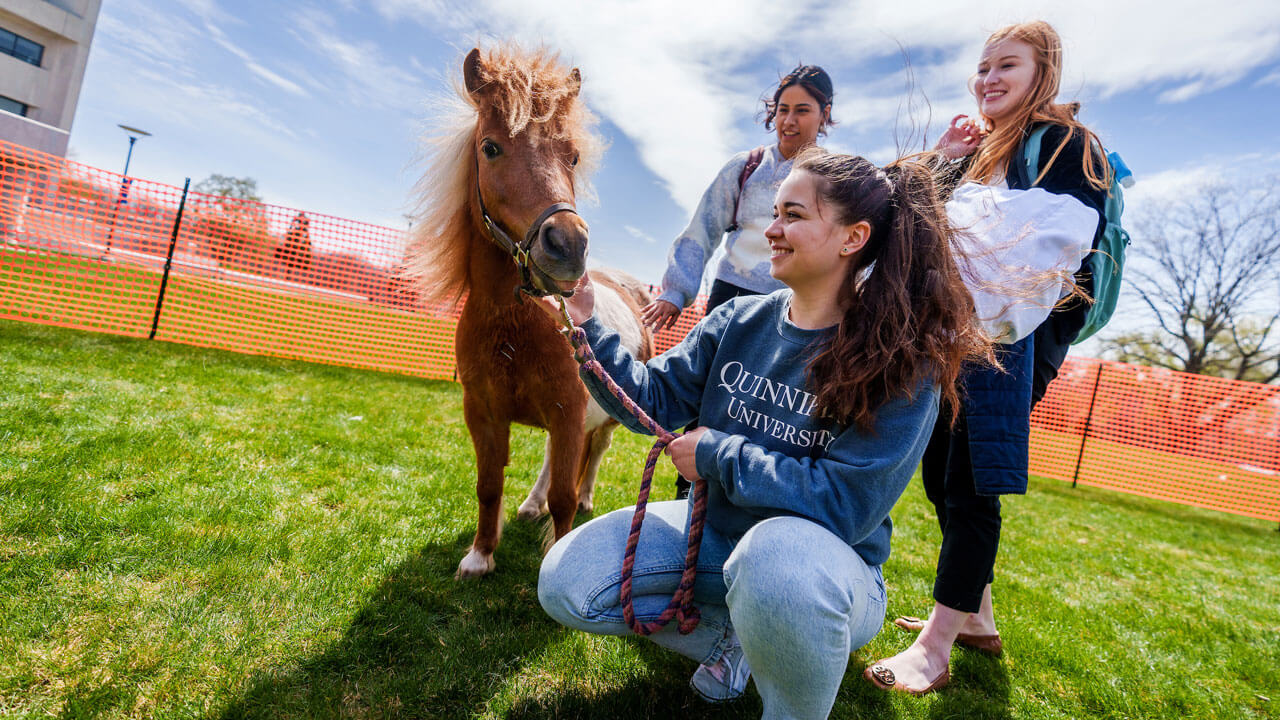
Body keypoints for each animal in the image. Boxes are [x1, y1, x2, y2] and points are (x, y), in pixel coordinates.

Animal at [410, 45, 653, 579]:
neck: (511, 327)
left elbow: (563, 500)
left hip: (604, 421)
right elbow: (488, 486)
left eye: (574, 156)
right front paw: (479, 556)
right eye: (490, 148)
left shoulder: (568, 416)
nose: (569, 246)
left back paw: (586, 499)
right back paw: (530, 504)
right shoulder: (483, 413)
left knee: (593, 458)